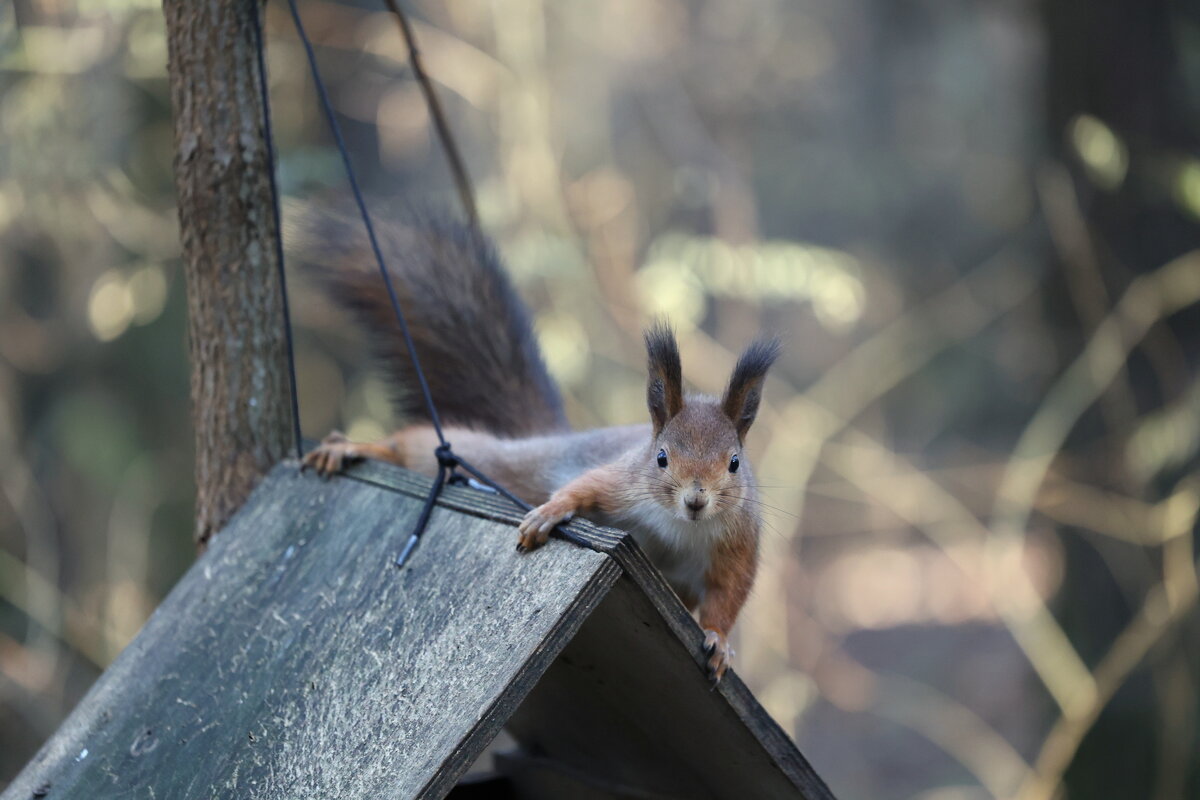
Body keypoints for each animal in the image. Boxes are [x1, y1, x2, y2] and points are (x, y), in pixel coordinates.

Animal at [292, 206, 777, 681]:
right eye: (661, 457)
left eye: (735, 463)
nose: (696, 500)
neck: (681, 527)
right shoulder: (621, 482)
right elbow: (583, 488)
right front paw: (550, 513)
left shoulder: (737, 545)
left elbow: (727, 597)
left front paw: (719, 643)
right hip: (507, 461)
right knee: (424, 448)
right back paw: (356, 448)